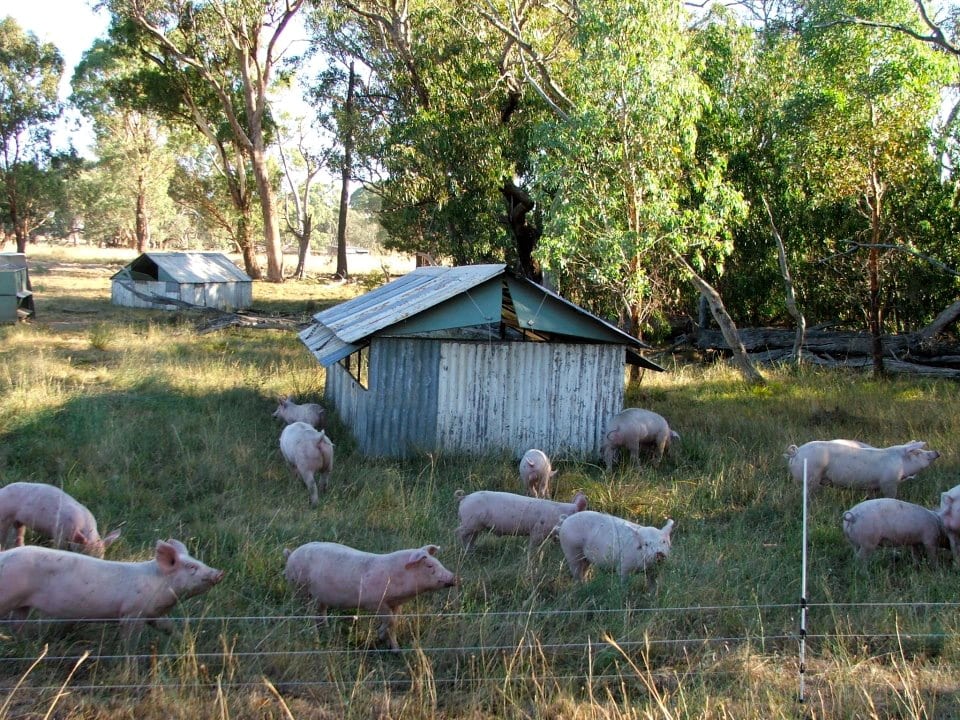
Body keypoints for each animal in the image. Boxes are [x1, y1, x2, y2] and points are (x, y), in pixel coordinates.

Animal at [0, 536, 224, 640]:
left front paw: (183, 640)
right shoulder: (131, 613)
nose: (220, 572)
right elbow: (130, 640)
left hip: (21, 604)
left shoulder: (152, 613)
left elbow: (168, 627)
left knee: (17, 623)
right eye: (192, 567)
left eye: (199, 561)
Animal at [284, 540, 460, 652]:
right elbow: (390, 620)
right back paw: (315, 639)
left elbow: (394, 623)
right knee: (306, 615)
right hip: (301, 589)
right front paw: (382, 637)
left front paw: (395, 648)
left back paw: (326, 631)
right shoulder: (374, 602)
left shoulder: (396, 604)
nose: (455, 578)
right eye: (430, 565)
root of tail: (291, 554)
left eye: (438, 562)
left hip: (320, 596)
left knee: (320, 612)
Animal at [456, 490, 588, 552]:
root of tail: (465, 497)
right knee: (458, 531)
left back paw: (471, 550)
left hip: (476, 526)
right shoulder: (537, 530)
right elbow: (533, 545)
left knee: (471, 537)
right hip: (470, 522)